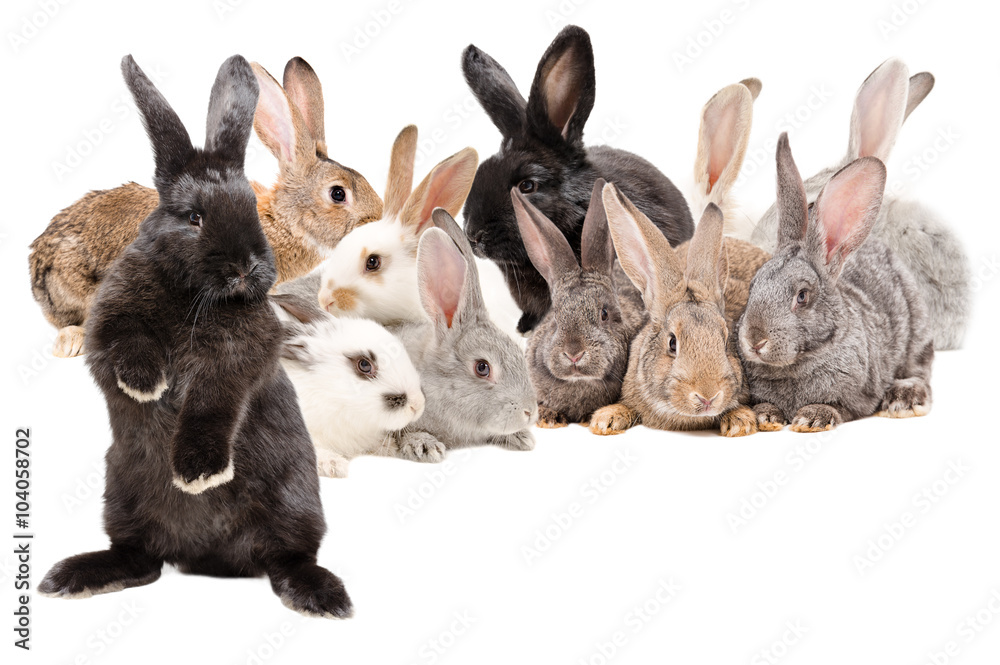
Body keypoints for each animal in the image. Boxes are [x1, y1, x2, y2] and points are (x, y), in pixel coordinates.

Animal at [38, 55, 351, 619]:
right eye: (194, 217)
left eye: (248, 208)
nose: (249, 268)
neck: (193, 295)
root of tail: (207, 557)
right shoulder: (109, 319)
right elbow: (125, 342)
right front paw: (146, 383)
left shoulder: (239, 360)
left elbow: (213, 401)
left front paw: (199, 473)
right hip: (121, 494)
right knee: (139, 559)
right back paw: (70, 577)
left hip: (296, 502)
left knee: (289, 559)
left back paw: (324, 596)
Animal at [736, 133, 934, 432]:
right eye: (753, 286)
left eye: (802, 296)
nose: (755, 340)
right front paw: (765, 416)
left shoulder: (858, 397)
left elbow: (838, 407)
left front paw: (812, 418)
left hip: (917, 334)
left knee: (920, 373)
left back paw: (904, 399)